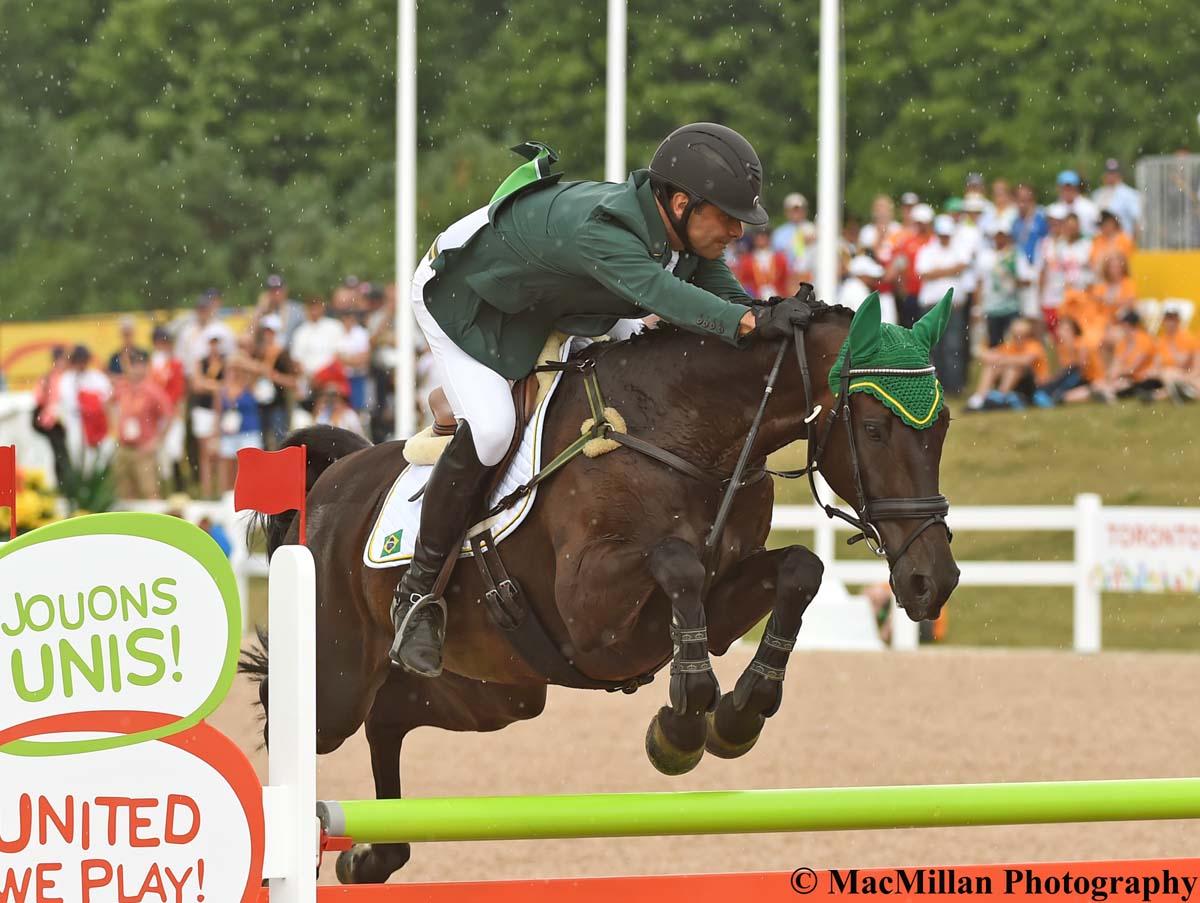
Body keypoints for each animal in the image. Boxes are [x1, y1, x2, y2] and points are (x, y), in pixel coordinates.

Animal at [238, 296, 960, 883]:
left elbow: (799, 570)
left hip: (498, 692)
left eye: (944, 426)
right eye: (874, 429)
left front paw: (737, 712)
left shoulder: (721, 597)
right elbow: (678, 563)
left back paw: (371, 856)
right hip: (337, 677)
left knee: (389, 715)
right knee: (295, 710)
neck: (686, 433)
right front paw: (682, 722)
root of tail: (333, 480)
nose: (934, 580)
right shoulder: (592, 612)